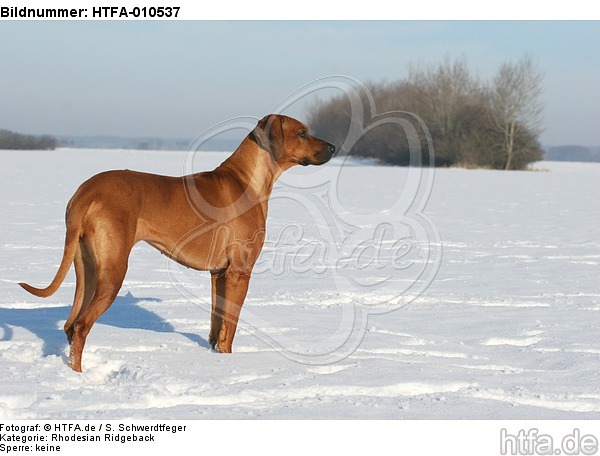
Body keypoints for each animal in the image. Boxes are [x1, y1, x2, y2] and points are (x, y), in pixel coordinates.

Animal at [19, 114, 338, 370]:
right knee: (83, 325)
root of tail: (86, 191)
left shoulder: (219, 274)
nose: (334, 148)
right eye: (302, 132)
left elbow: (216, 327)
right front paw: (228, 363)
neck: (247, 180)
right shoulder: (239, 272)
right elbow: (230, 328)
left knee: (71, 325)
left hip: (85, 267)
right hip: (113, 271)